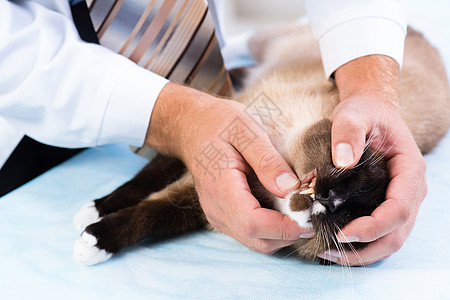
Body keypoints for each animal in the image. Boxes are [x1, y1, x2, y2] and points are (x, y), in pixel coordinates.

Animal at [72, 24, 448, 266]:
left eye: (349, 214)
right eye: (347, 174)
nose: (329, 197)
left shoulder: (198, 200)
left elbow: (151, 215)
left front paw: (94, 240)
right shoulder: (206, 148)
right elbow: (144, 182)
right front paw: (95, 211)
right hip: (263, 43)